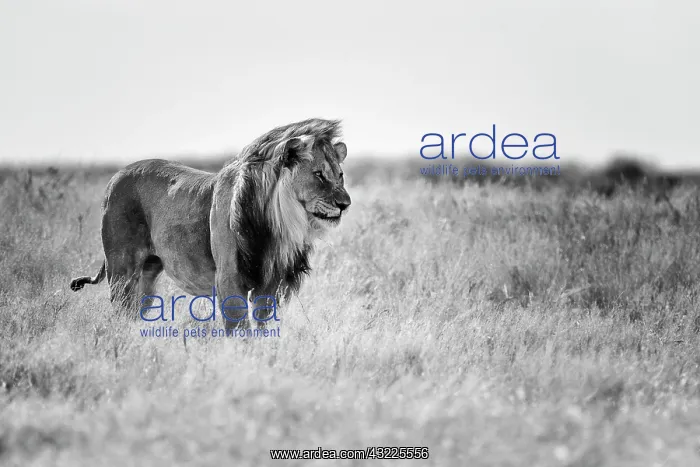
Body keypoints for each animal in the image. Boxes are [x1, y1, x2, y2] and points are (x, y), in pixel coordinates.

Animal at [69, 118, 351, 329]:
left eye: (340, 175)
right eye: (318, 175)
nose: (345, 204)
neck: (279, 222)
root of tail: (117, 174)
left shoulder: (270, 283)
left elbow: (262, 325)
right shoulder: (228, 277)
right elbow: (239, 327)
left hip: (147, 274)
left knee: (135, 310)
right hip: (122, 270)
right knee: (119, 311)